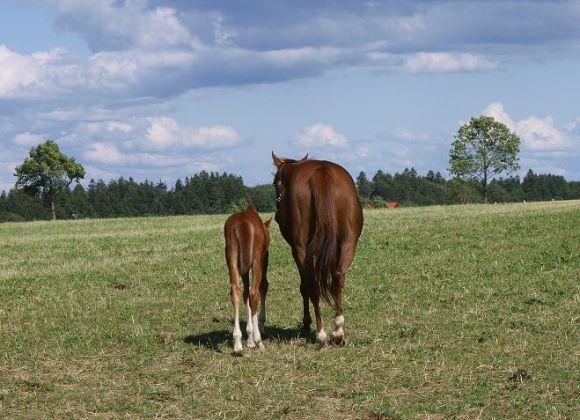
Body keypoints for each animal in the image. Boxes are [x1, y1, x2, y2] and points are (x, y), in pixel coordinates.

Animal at [272, 153, 362, 346]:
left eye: (276, 183)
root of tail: (321, 171)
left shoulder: (297, 250)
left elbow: (304, 286)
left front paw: (306, 324)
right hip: (348, 242)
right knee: (338, 277)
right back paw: (339, 330)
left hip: (301, 249)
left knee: (312, 285)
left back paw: (321, 333)